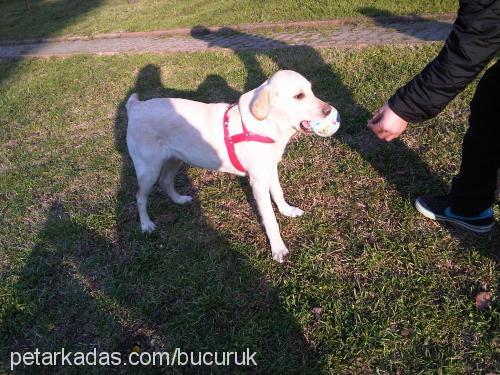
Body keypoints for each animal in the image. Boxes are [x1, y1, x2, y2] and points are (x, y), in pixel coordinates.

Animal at [126, 71, 340, 264]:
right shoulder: (258, 182)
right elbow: (270, 220)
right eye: (299, 96)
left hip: (175, 159)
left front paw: (287, 211)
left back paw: (179, 200)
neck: (265, 124)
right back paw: (146, 225)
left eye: (311, 91)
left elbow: (279, 193)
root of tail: (136, 107)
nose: (329, 110)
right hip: (148, 169)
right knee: (140, 197)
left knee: (165, 181)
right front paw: (278, 248)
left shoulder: (271, 169)